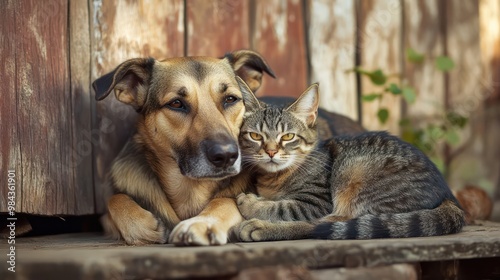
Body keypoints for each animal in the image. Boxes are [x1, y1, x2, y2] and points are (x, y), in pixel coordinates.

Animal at [93, 49, 364, 245]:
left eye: (231, 99)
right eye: (176, 103)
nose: (226, 156)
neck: (190, 190)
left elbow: (224, 202)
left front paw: (202, 222)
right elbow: (115, 200)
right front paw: (143, 226)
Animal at [232, 80, 466, 241]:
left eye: (288, 136)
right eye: (255, 136)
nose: (271, 152)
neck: (274, 178)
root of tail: (449, 196)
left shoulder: (317, 202)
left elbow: (283, 208)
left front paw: (254, 204)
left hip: (355, 179)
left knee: (319, 226)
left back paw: (260, 227)